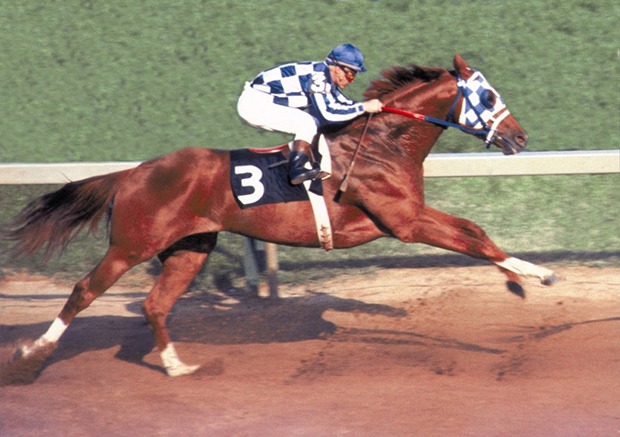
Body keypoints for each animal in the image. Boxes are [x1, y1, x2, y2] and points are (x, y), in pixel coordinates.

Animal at [2, 54, 560, 382]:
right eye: (487, 96)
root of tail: (132, 172)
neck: (382, 144)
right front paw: (535, 276)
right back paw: (31, 357)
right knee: (83, 292)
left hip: (189, 247)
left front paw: (522, 279)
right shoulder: (405, 220)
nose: (520, 138)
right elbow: (474, 238)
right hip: (132, 244)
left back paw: (177, 366)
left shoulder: (407, 216)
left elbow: (475, 232)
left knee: (155, 304)